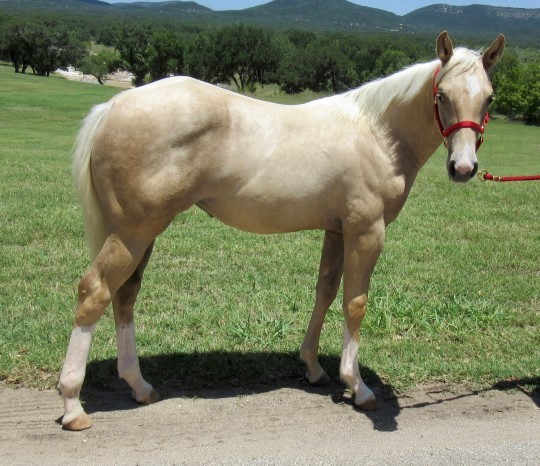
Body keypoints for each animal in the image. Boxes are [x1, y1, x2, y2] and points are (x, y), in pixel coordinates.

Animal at [60, 32, 506, 430]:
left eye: (488, 97)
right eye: (442, 94)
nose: (463, 168)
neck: (378, 134)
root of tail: (114, 105)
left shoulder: (337, 231)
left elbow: (325, 291)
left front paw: (312, 366)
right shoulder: (366, 231)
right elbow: (355, 303)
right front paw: (357, 386)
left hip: (140, 234)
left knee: (124, 295)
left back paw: (139, 386)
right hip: (133, 232)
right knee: (94, 292)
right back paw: (73, 405)